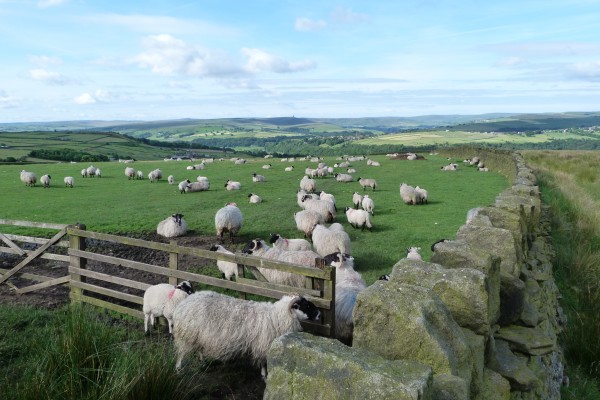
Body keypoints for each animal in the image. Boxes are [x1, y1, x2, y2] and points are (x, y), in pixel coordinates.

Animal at [173, 291, 320, 378]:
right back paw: (179, 370)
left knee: (198, 349)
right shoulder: (264, 345)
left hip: (198, 336)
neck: (277, 316)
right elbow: (264, 362)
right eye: (306, 306)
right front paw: (264, 376)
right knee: (181, 354)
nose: (319, 314)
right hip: (187, 336)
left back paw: (202, 362)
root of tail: (183, 304)